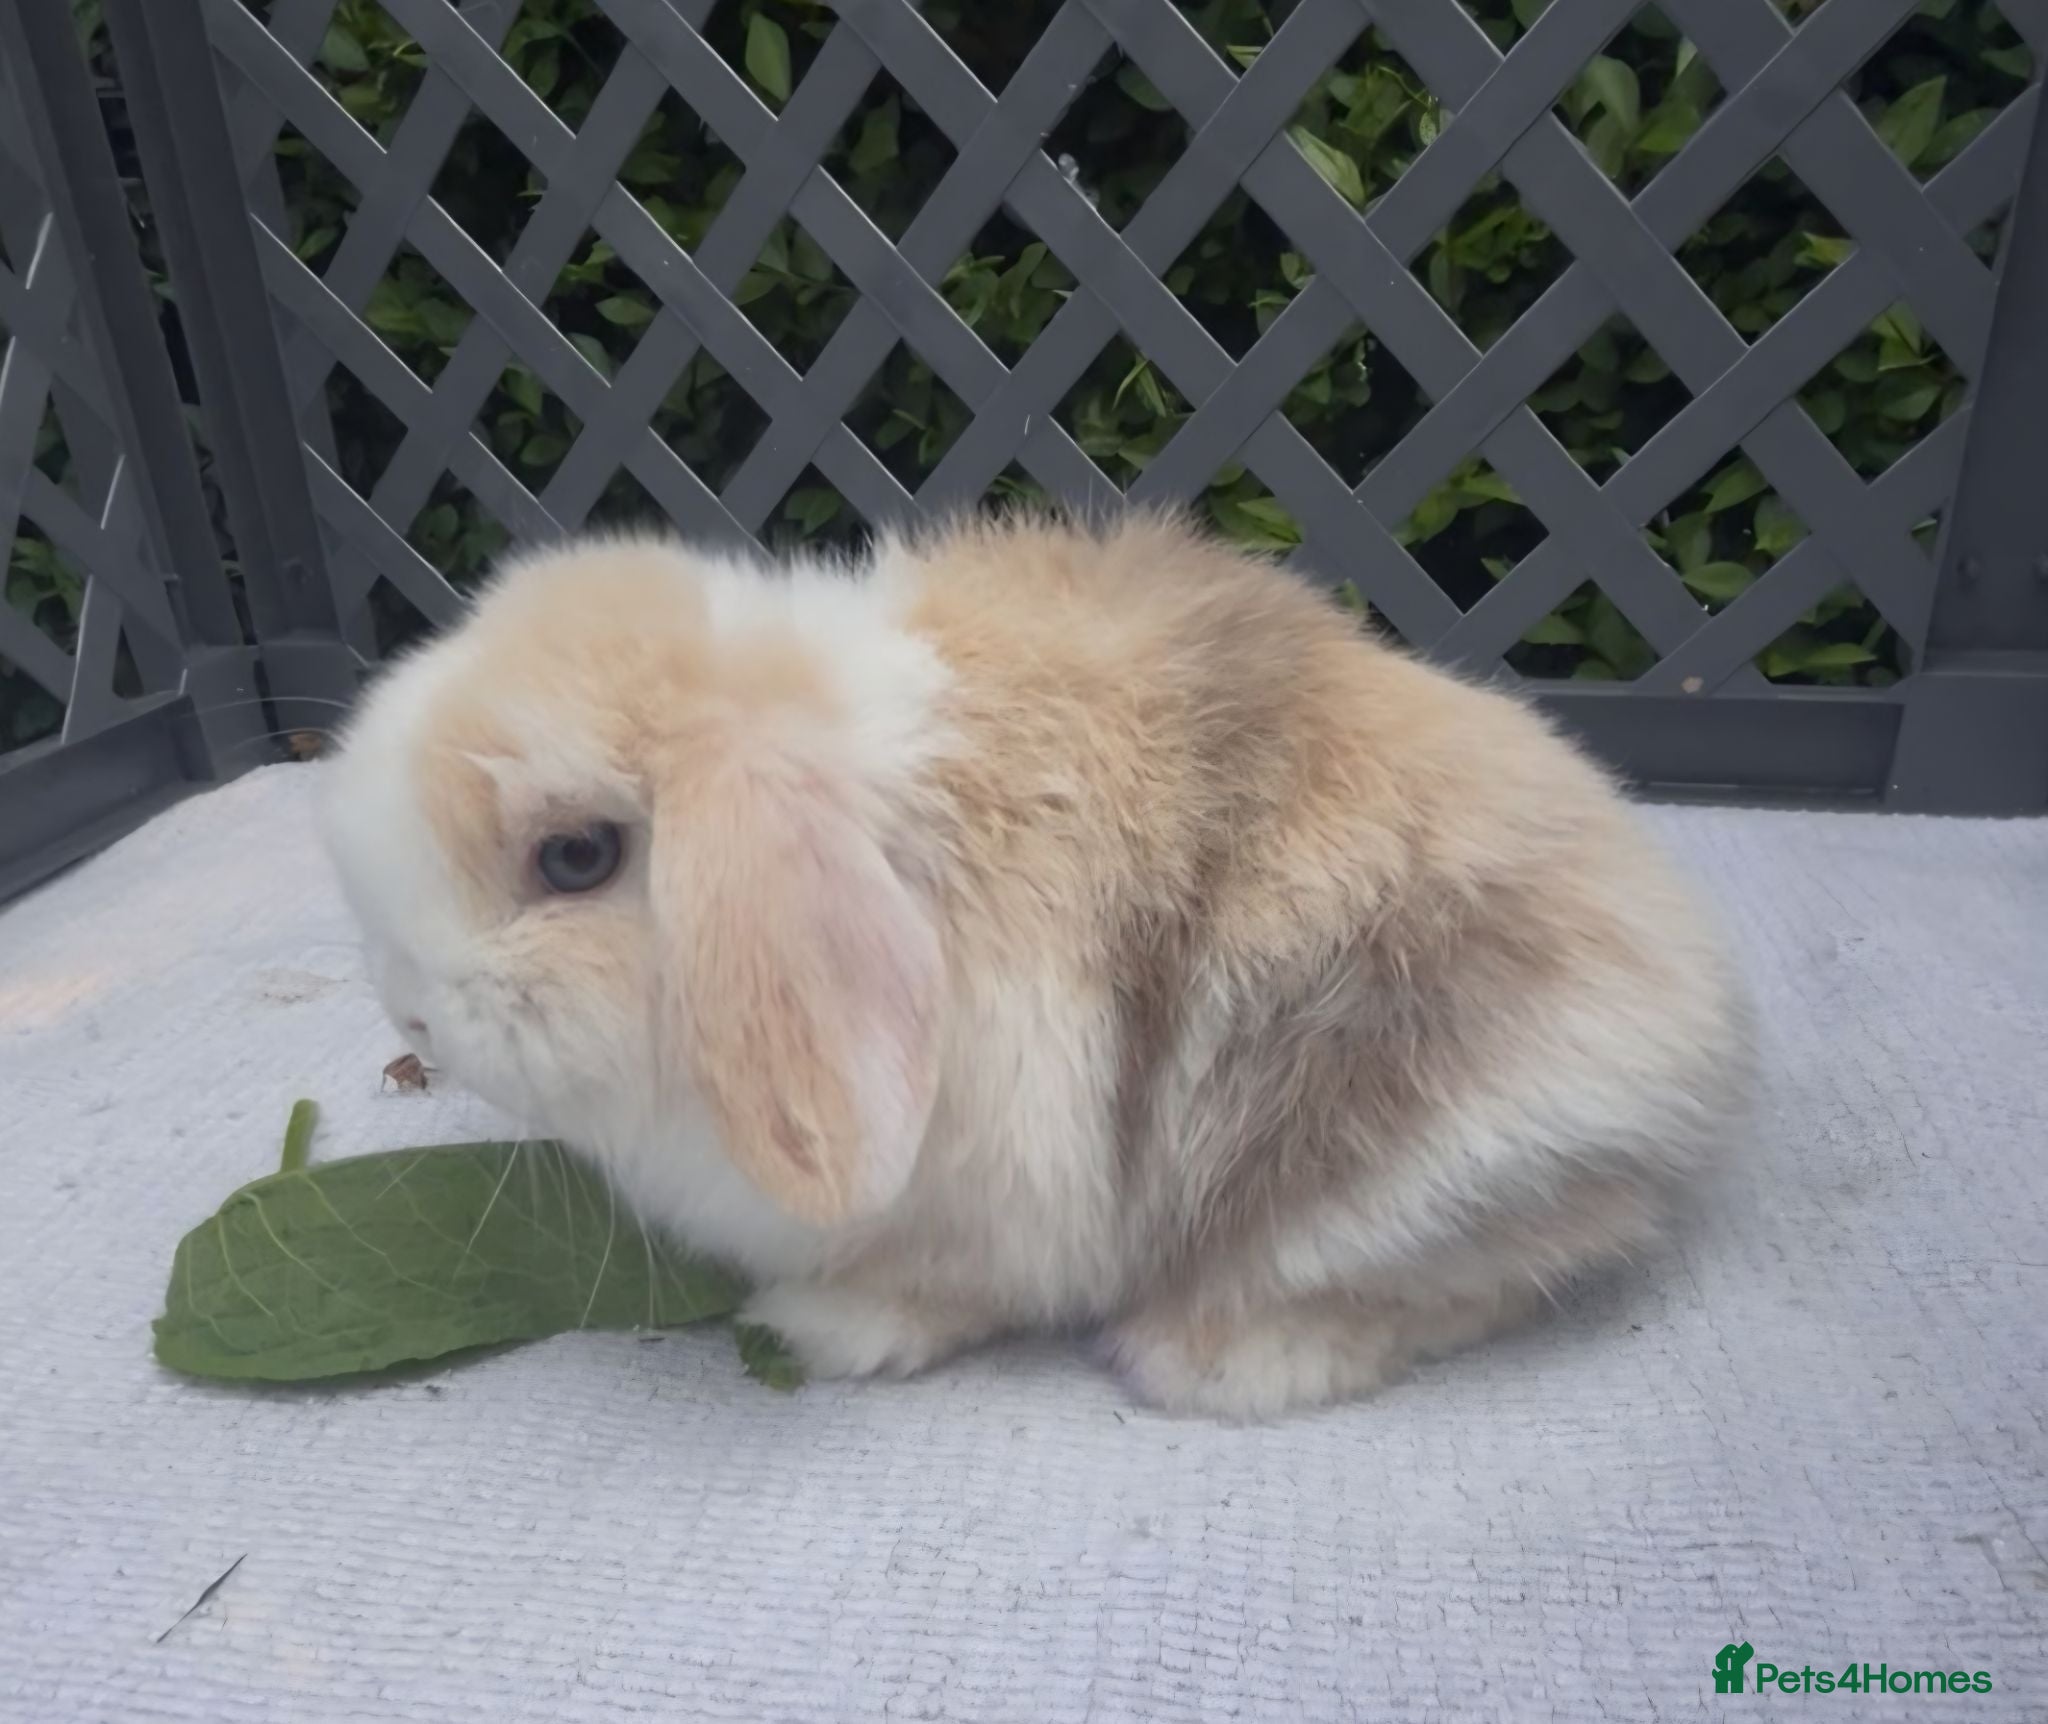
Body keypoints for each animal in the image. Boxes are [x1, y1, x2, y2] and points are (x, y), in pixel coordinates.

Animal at [319, 511, 1751, 1419]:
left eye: (574, 856)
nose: (412, 1015)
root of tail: (1696, 1057)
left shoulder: (994, 1179)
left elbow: (942, 1285)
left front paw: (812, 1327)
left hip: (1404, 1159)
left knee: (1447, 1286)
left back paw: (1215, 1361)